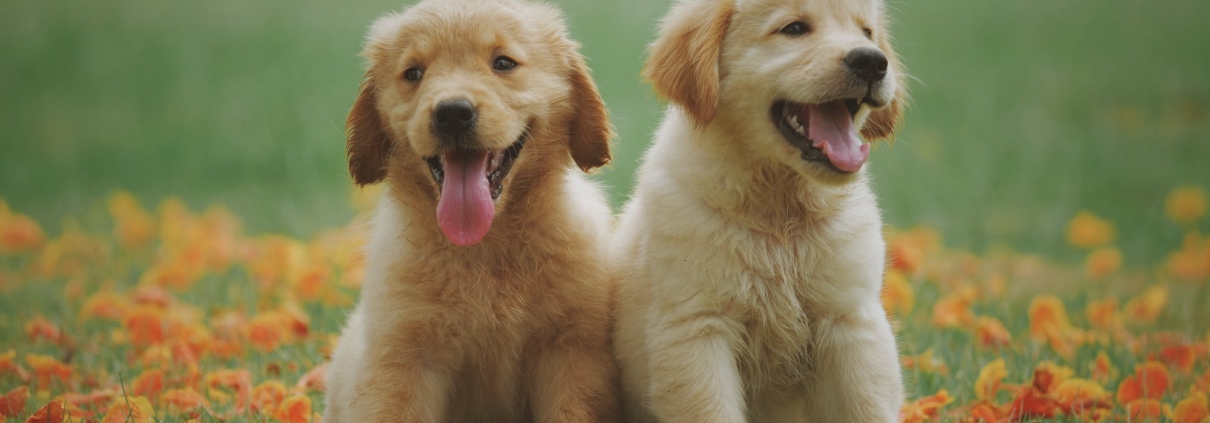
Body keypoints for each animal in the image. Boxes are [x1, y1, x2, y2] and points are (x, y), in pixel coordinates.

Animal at [324, 0, 619, 423]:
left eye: (503, 63)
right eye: (413, 73)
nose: (452, 113)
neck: (485, 247)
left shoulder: (570, 354)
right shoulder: (405, 362)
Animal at [614, 0, 909, 420]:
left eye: (866, 32)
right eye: (794, 28)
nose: (871, 62)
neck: (778, 208)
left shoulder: (851, 320)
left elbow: (866, 406)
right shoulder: (697, 326)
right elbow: (710, 409)